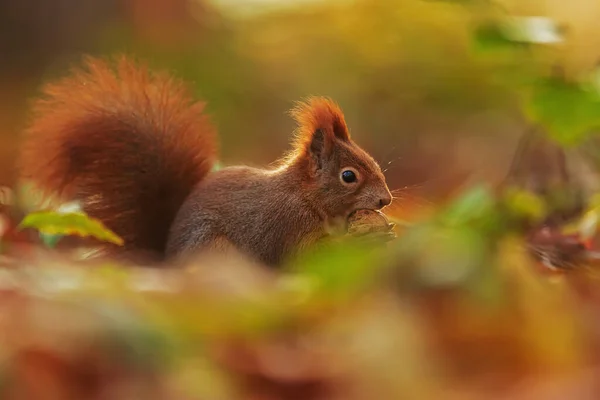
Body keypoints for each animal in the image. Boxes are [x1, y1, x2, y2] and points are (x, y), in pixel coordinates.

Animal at [17, 56, 394, 268]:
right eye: (349, 176)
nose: (385, 200)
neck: (305, 196)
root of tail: (167, 264)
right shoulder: (285, 225)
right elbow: (303, 255)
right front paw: (365, 237)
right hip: (215, 250)